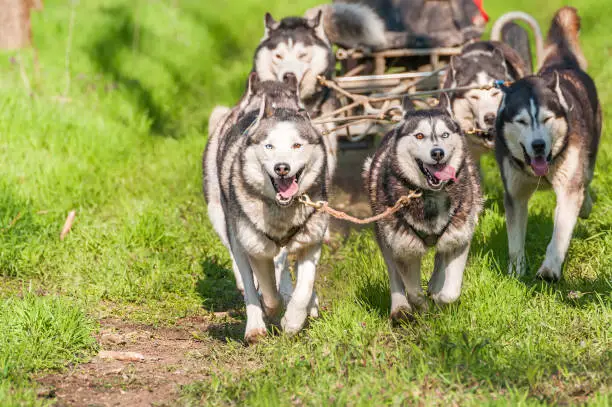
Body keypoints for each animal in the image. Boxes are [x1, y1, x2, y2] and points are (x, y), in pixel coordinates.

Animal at [203, 78, 330, 342]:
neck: (281, 210)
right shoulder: (255, 247)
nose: (282, 167)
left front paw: (293, 320)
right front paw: (271, 309)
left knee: (283, 267)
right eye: (269, 146)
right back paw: (254, 325)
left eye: (297, 145)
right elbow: (268, 293)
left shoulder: (311, 239)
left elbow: (304, 287)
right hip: (222, 218)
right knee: (244, 272)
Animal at [364, 96, 482, 322]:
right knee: (394, 275)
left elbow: (450, 293)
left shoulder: (460, 237)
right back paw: (400, 308)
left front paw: (439, 299)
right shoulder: (404, 248)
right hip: (385, 236)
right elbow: (413, 292)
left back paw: (435, 285)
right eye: (419, 135)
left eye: (445, 135)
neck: (430, 195)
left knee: (440, 257)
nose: (437, 152)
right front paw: (423, 308)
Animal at [494, 7, 600, 280]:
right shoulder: (515, 193)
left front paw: (549, 270)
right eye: (521, 121)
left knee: (585, 180)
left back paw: (585, 205)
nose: (539, 145)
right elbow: (515, 240)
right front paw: (516, 272)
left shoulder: (568, 186)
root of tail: (560, 63)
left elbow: (560, 233)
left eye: (546, 118)